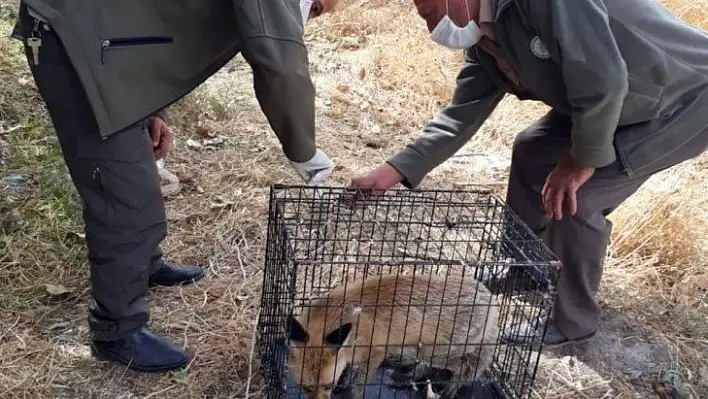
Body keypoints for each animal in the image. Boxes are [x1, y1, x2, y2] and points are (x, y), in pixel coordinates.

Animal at [284, 274, 500, 398]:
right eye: (305, 388)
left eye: (328, 386)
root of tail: (490, 297)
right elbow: (349, 371)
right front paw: (344, 383)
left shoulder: (376, 352)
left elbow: (358, 385)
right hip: (424, 350)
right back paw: (406, 378)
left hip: (438, 353)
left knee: (464, 368)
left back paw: (449, 391)